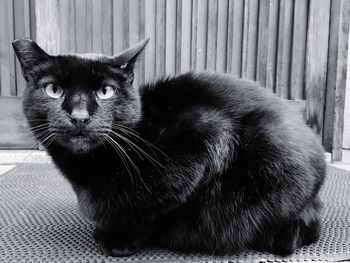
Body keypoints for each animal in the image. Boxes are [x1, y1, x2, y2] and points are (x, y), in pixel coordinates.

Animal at [13, 38, 326, 258]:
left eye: (106, 91)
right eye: (53, 90)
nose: (79, 116)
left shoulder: (206, 134)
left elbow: (156, 209)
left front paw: (118, 239)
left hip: (271, 143)